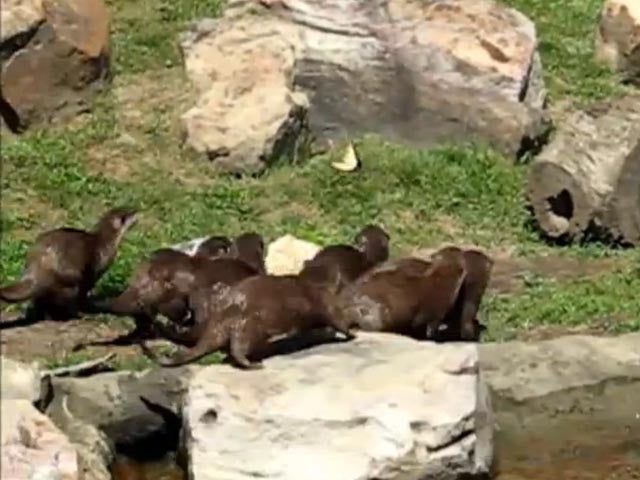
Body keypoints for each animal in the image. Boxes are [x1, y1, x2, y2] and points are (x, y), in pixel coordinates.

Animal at [0, 207, 138, 322]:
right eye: (129, 213)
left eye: (128, 208)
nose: (137, 210)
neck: (106, 242)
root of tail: (37, 268)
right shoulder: (94, 271)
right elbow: (84, 293)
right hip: (69, 282)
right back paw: (79, 316)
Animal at [139, 264, 356, 370]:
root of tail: (222, 313)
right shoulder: (329, 307)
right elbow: (340, 322)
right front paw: (352, 334)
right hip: (249, 326)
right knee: (238, 349)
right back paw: (254, 364)